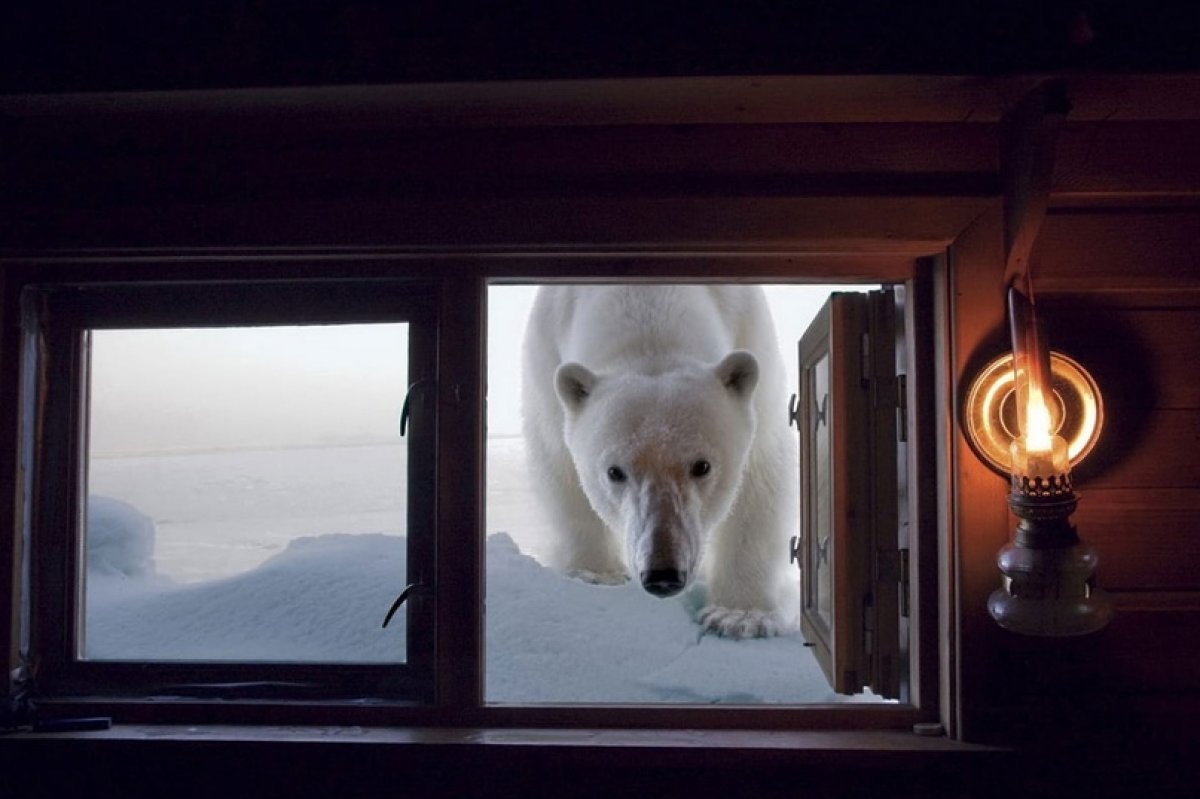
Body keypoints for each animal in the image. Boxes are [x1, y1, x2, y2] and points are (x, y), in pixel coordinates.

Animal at [523, 283, 796, 638]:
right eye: (614, 472)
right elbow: (560, 466)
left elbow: (759, 477)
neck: (648, 299)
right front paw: (597, 573)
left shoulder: (752, 336)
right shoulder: (546, 358)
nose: (663, 574)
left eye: (702, 466)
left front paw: (739, 615)